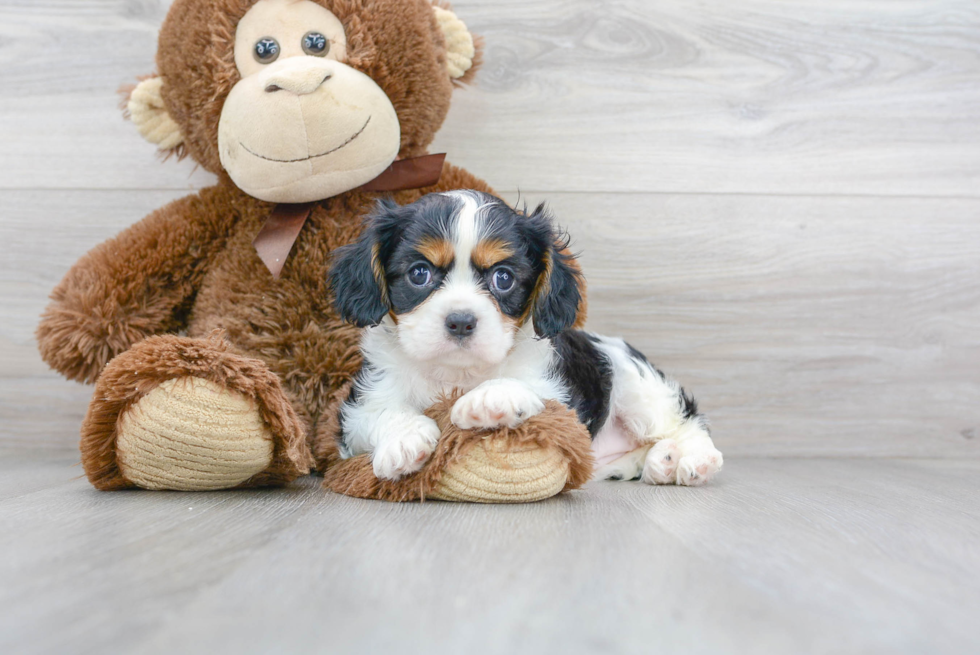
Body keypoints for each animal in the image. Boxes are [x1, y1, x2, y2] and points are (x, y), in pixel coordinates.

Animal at [330, 190, 720, 486]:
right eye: (419, 273)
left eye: (503, 278)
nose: (461, 321)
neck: (457, 373)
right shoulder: (357, 409)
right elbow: (380, 412)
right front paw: (404, 438)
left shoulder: (561, 398)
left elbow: (526, 388)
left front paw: (488, 398)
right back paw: (656, 462)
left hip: (636, 383)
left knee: (686, 421)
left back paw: (691, 459)